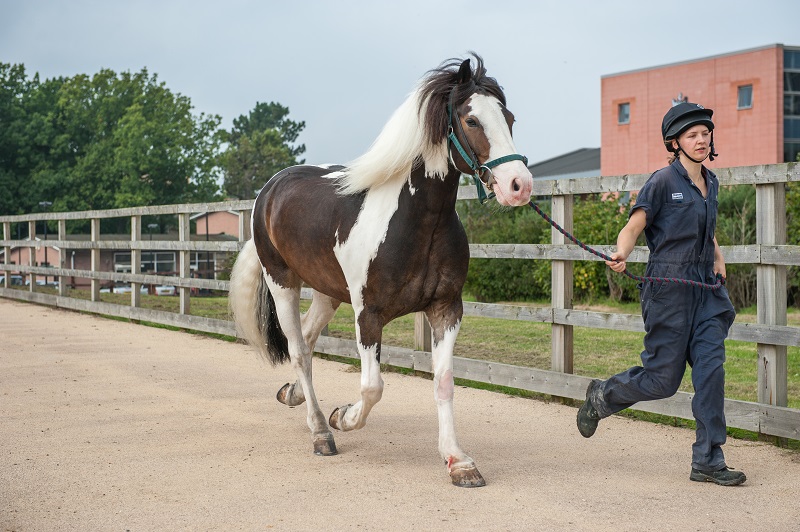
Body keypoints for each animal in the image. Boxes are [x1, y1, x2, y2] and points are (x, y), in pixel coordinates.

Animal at [228, 55, 536, 486]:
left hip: (326, 293)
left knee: (306, 338)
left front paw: (459, 461)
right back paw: (321, 430)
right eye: (472, 120)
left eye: (509, 117)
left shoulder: (446, 309)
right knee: (299, 350)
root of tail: (269, 190)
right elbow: (372, 385)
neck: (417, 221)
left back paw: (294, 396)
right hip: (282, 283)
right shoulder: (368, 315)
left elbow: (444, 382)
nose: (518, 185)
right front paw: (343, 417)